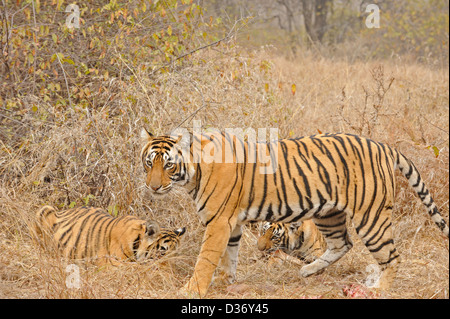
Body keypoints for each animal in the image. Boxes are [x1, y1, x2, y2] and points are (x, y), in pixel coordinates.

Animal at [140, 129, 446, 298]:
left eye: (168, 165)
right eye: (149, 163)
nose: (152, 187)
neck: (193, 173)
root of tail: (384, 146)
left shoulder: (218, 222)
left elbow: (206, 259)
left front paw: (192, 289)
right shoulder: (232, 224)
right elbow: (229, 256)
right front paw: (225, 282)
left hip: (370, 217)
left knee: (391, 256)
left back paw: (379, 290)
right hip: (328, 214)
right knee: (342, 243)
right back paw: (308, 270)